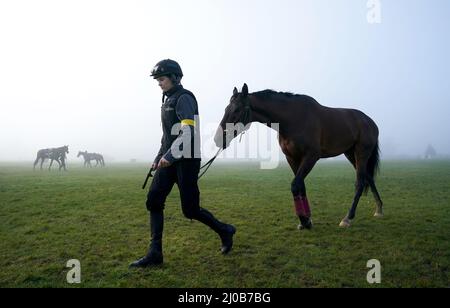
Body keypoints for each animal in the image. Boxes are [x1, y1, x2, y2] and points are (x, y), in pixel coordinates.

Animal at [214, 84, 384, 229]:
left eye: (237, 110)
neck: (293, 119)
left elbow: (295, 185)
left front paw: (304, 220)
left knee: (360, 183)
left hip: (361, 153)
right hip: (350, 153)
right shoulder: (292, 158)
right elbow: (301, 185)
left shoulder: (311, 157)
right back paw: (379, 209)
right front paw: (307, 220)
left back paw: (347, 218)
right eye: (226, 108)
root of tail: (370, 121)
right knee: (368, 177)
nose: (218, 139)